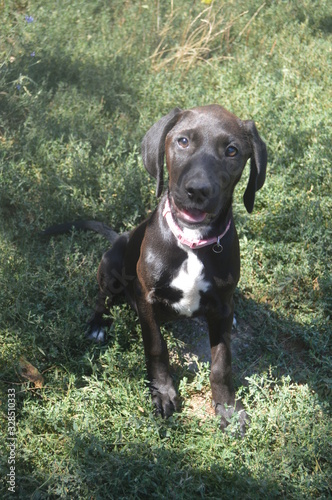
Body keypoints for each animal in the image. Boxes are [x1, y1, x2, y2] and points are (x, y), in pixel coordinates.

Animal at [44, 103, 268, 432]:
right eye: (183, 141)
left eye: (232, 150)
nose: (197, 191)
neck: (192, 243)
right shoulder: (147, 300)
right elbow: (156, 348)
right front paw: (163, 392)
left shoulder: (222, 307)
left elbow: (222, 362)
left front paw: (227, 407)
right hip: (111, 266)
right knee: (102, 298)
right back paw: (97, 324)